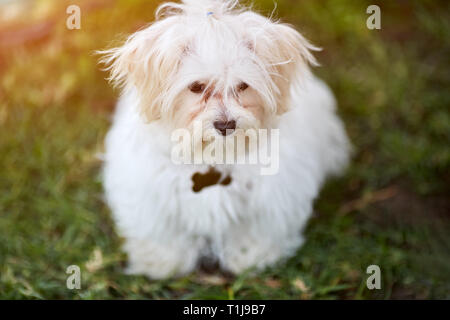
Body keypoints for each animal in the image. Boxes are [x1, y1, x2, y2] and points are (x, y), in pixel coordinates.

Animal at [100, 0, 350, 278]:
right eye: (196, 87)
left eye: (242, 86)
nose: (226, 125)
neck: (215, 155)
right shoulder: (149, 190)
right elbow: (163, 231)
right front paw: (161, 262)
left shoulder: (272, 195)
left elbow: (256, 228)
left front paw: (250, 257)